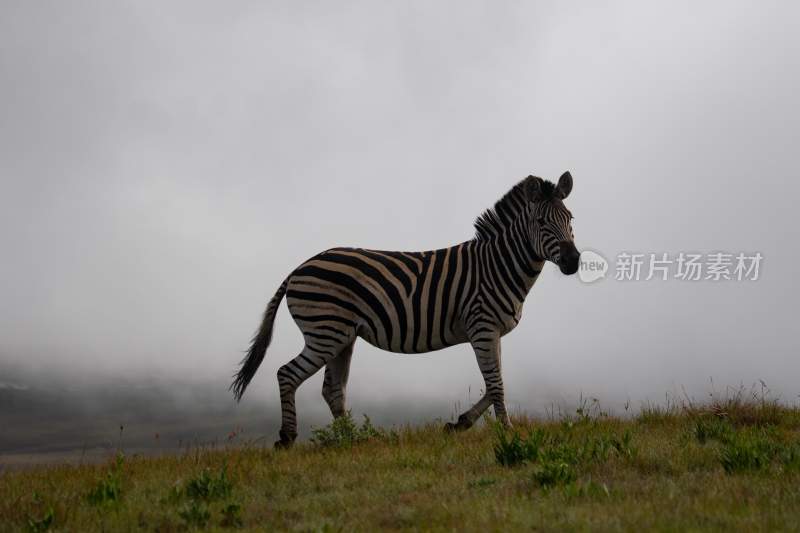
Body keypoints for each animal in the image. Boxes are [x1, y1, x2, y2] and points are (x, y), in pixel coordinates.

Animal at [231, 170, 580, 444]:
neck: (497, 266)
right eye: (540, 221)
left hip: (342, 337)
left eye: (570, 219)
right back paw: (288, 437)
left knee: (332, 389)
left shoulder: (491, 333)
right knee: (287, 374)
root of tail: (298, 268)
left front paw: (460, 423)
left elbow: (494, 382)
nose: (574, 261)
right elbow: (496, 384)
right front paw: (507, 430)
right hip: (325, 333)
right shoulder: (482, 327)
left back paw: (351, 439)